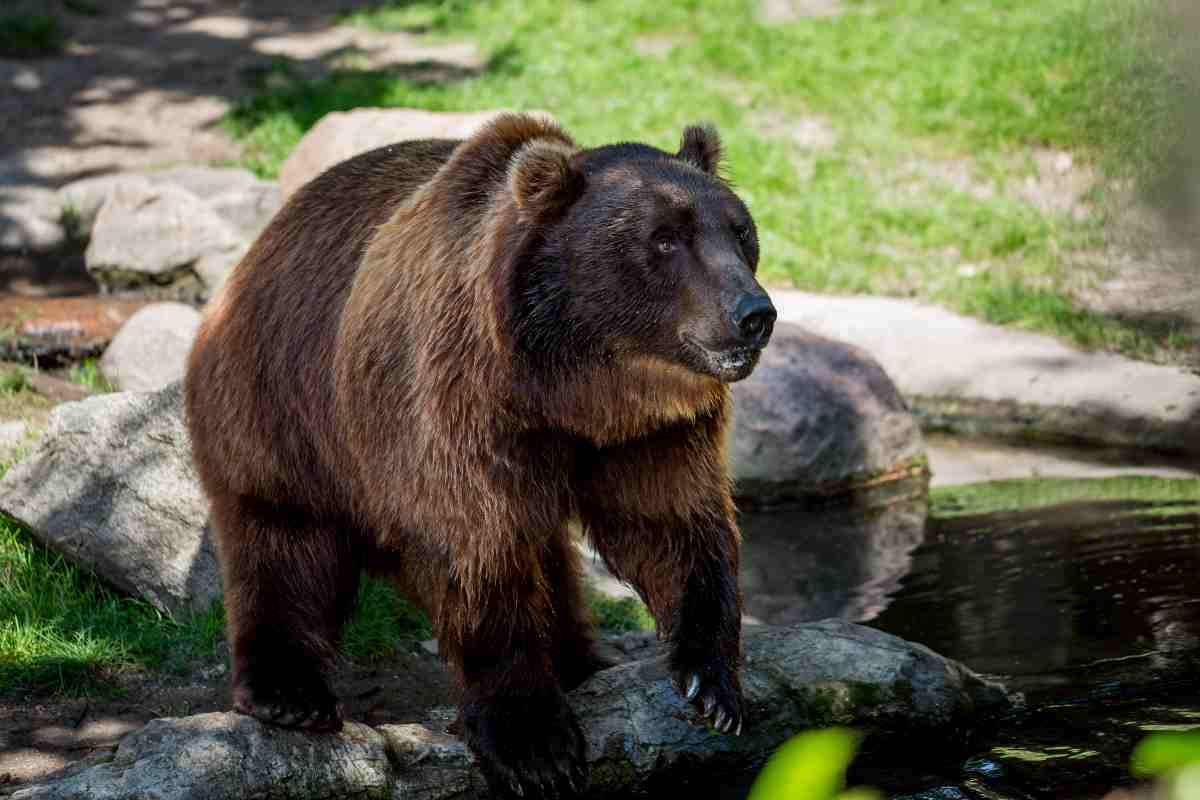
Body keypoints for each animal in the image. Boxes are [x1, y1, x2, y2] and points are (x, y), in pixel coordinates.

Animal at [182, 113, 772, 800]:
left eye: (740, 230)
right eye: (664, 240)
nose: (754, 313)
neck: (572, 389)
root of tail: (261, 242)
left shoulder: (652, 431)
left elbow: (673, 523)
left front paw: (713, 685)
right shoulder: (458, 403)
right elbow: (479, 552)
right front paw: (535, 744)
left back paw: (580, 660)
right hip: (283, 400)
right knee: (283, 541)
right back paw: (288, 693)